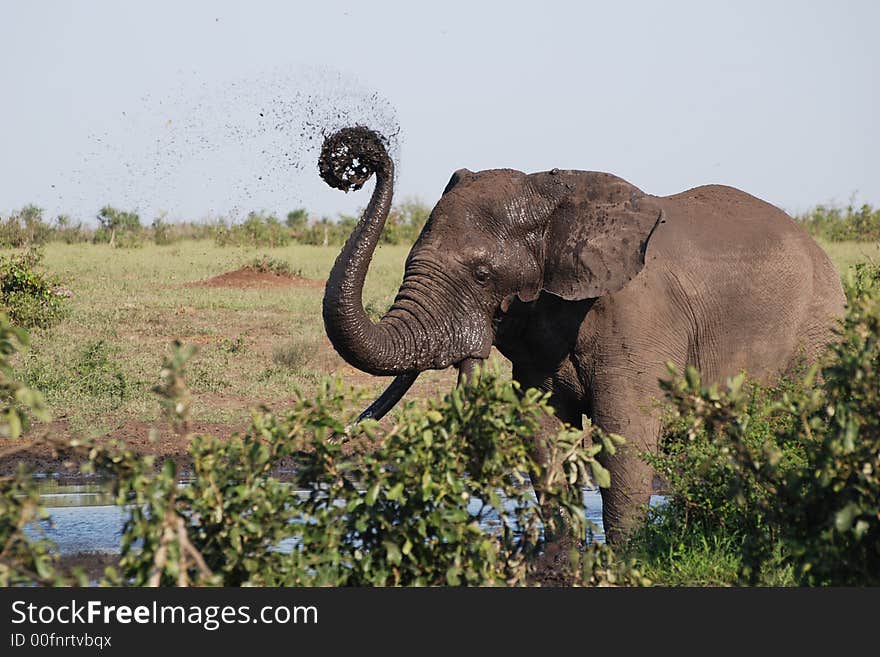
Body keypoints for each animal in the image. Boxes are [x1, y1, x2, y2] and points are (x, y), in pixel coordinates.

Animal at [316, 127, 844, 544]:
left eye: (482, 276)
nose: (355, 160)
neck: (554, 197)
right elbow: (544, 436)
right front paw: (564, 558)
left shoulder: (639, 318)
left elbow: (626, 438)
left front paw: (626, 560)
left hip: (818, 330)